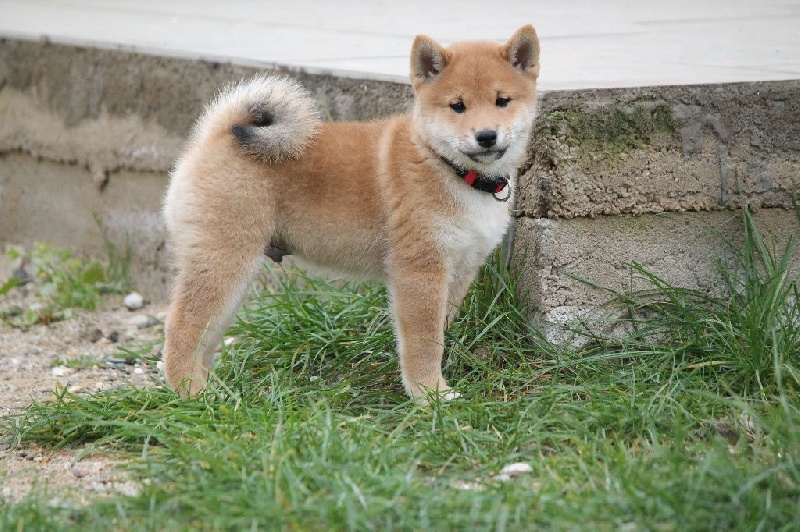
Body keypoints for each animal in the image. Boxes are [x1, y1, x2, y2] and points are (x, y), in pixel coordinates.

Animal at [162, 25, 540, 400]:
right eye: (457, 106)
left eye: (502, 100)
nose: (486, 135)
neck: (447, 167)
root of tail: (215, 138)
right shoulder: (420, 269)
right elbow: (423, 342)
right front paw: (429, 394)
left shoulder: (460, 268)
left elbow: (440, 333)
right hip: (223, 259)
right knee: (182, 328)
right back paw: (191, 394)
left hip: (235, 274)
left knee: (206, 337)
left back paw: (216, 390)